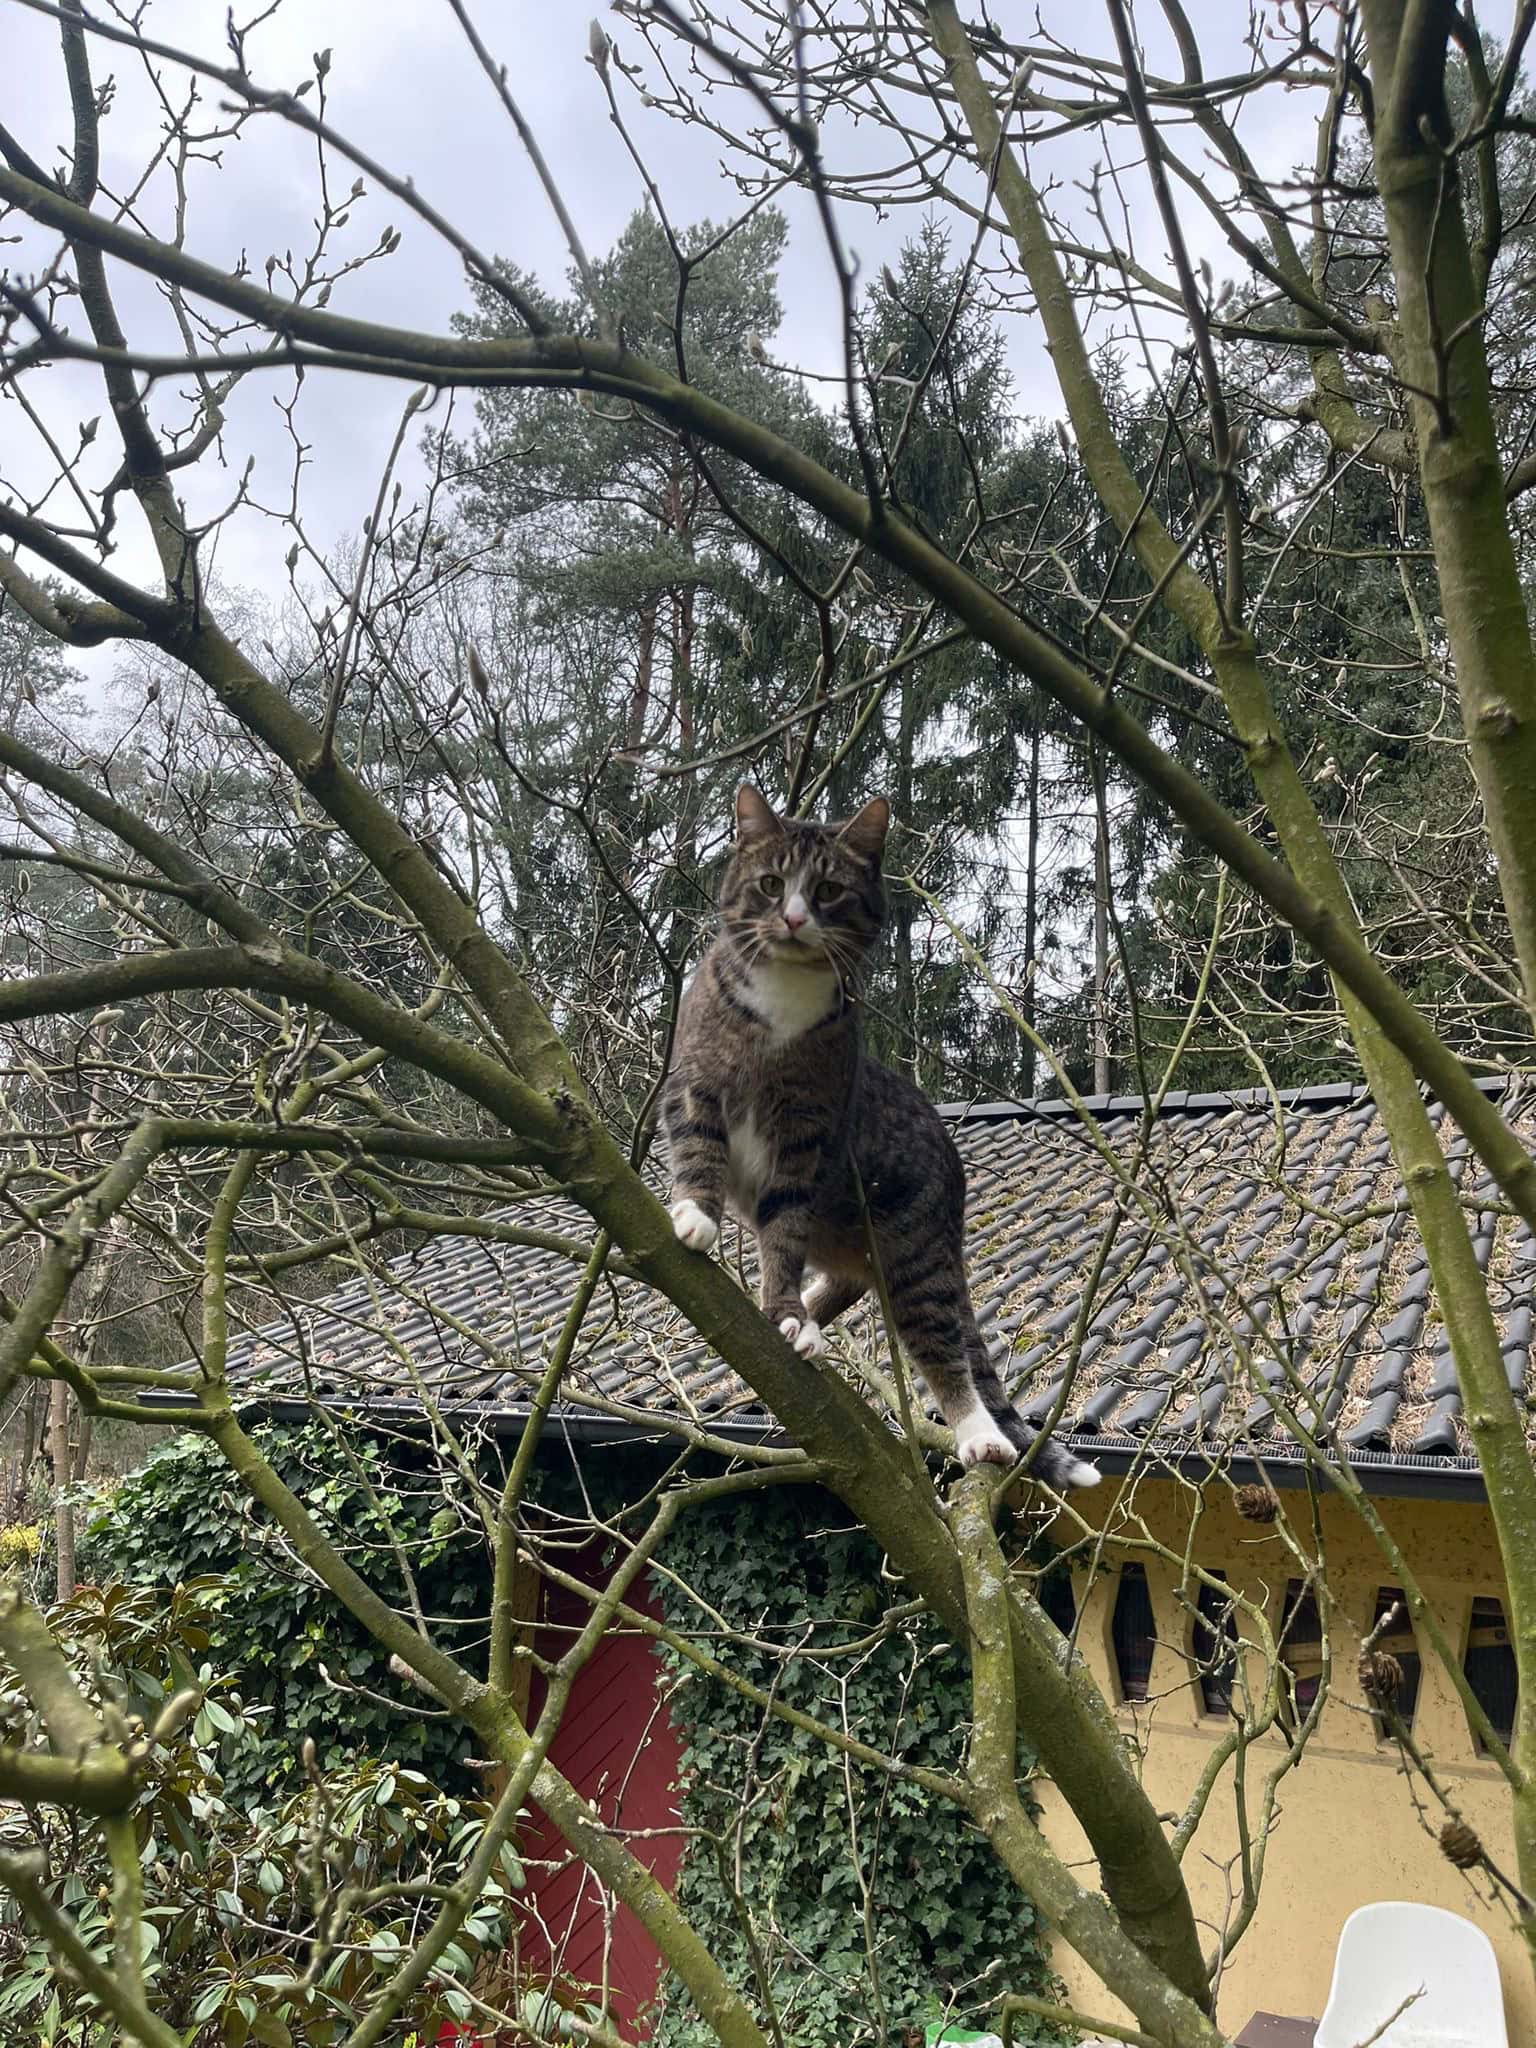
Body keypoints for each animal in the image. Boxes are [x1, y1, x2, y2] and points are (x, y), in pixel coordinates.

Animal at [661, 784, 1101, 1490]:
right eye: (771, 883)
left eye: (828, 890)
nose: (793, 919)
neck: (784, 997)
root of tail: (955, 1174)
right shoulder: (697, 1081)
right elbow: (700, 1150)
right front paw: (697, 1217)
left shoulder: (804, 1132)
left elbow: (784, 1229)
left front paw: (784, 1308)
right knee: (844, 1282)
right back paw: (807, 1320)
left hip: (914, 1253)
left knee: (940, 1347)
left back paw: (974, 1432)